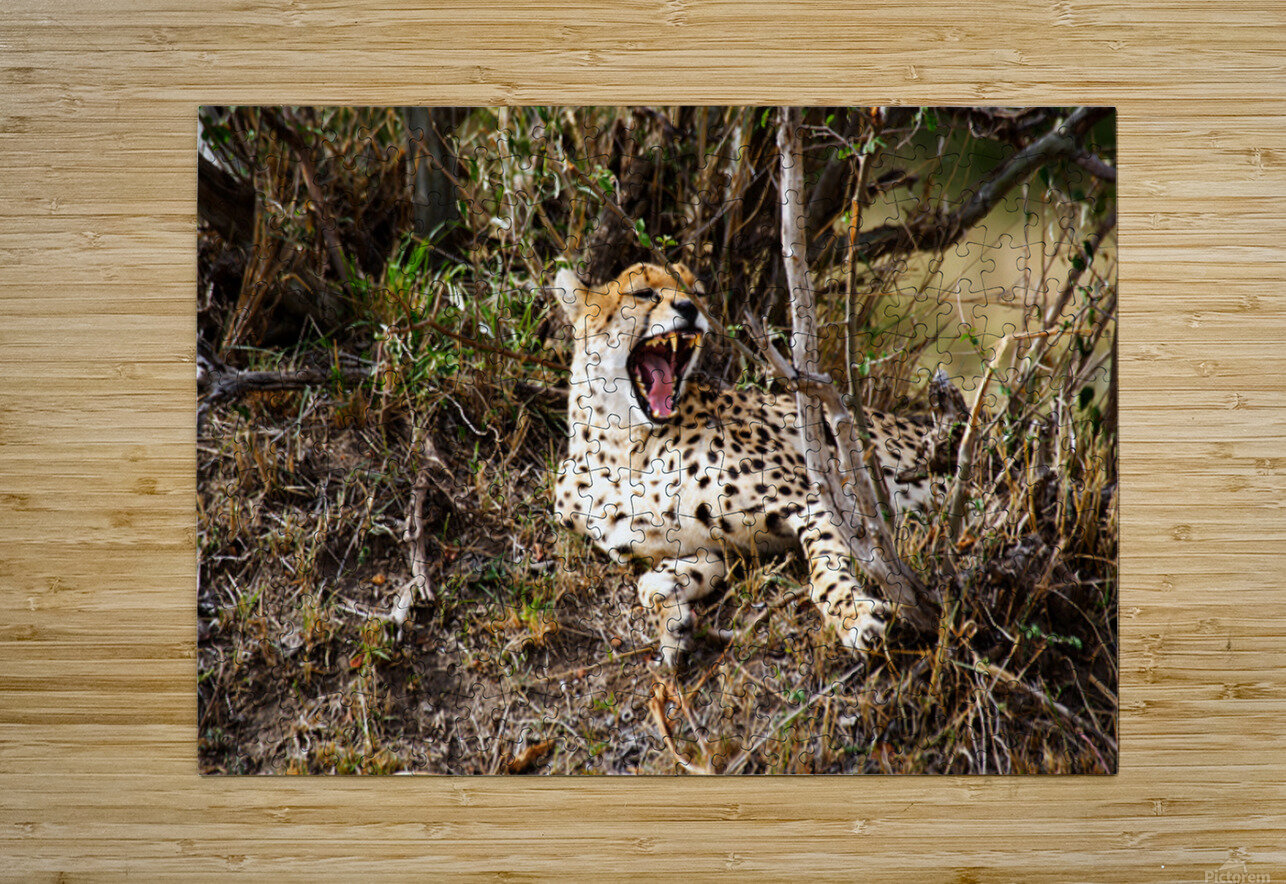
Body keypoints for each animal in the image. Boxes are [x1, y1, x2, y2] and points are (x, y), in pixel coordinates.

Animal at [552, 261, 943, 668]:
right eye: (643, 293)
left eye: (697, 293)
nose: (689, 308)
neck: (627, 447)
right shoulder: (703, 547)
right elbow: (650, 583)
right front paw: (672, 625)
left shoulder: (813, 498)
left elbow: (825, 569)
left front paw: (854, 615)